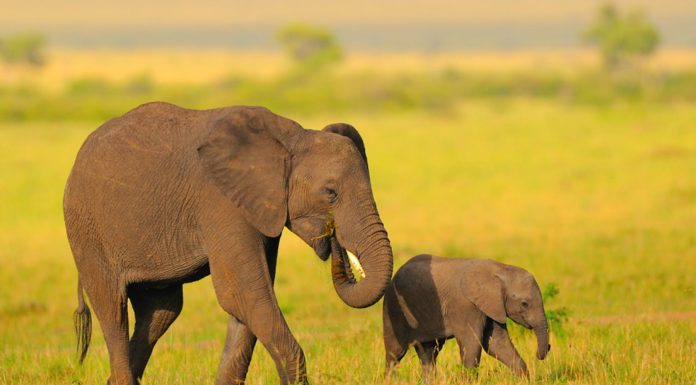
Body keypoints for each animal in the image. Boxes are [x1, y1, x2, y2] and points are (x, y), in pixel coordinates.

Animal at [64, 103, 392, 384]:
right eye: (331, 193)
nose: (333, 239)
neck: (292, 138)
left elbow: (248, 303)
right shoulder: (222, 203)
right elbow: (242, 294)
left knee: (161, 311)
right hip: (87, 233)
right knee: (114, 310)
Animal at [380, 254, 548, 380]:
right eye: (524, 304)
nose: (539, 354)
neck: (500, 269)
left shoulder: (491, 306)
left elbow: (497, 344)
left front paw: (523, 379)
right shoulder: (465, 306)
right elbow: (472, 343)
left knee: (429, 354)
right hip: (393, 309)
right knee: (394, 354)